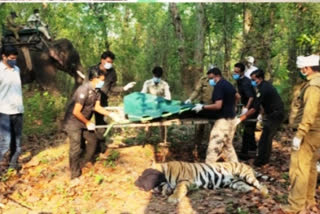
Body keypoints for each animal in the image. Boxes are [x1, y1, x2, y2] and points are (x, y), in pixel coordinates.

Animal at [136, 160, 270, 204]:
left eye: (145, 174)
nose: (137, 184)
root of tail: (247, 165)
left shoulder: (184, 180)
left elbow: (178, 189)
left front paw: (173, 198)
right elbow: (166, 188)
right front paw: (166, 191)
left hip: (245, 175)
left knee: (260, 184)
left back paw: (264, 192)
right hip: (235, 182)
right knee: (248, 186)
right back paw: (249, 191)